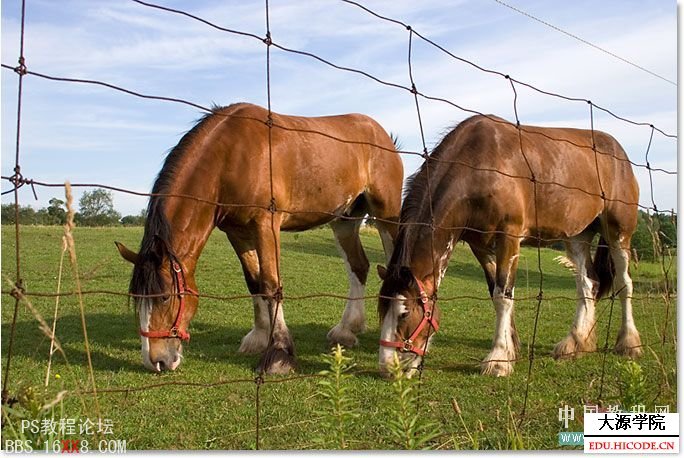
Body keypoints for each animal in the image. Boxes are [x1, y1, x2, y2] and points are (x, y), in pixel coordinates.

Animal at [115, 104, 404, 376]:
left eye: (164, 297)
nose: (155, 361)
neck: (230, 157)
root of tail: (382, 135)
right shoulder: (237, 233)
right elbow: (254, 282)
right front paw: (259, 336)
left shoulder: (266, 225)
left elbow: (271, 283)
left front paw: (279, 353)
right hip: (344, 220)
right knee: (358, 266)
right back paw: (346, 330)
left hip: (386, 213)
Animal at [380, 115, 640, 380]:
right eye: (380, 309)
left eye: (404, 313)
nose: (389, 368)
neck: (478, 167)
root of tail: (619, 152)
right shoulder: (479, 245)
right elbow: (495, 291)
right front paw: (510, 345)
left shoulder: (509, 237)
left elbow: (503, 295)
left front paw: (498, 359)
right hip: (578, 237)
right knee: (588, 284)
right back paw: (575, 343)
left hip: (619, 232)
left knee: (624, 283)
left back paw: (629, 343)